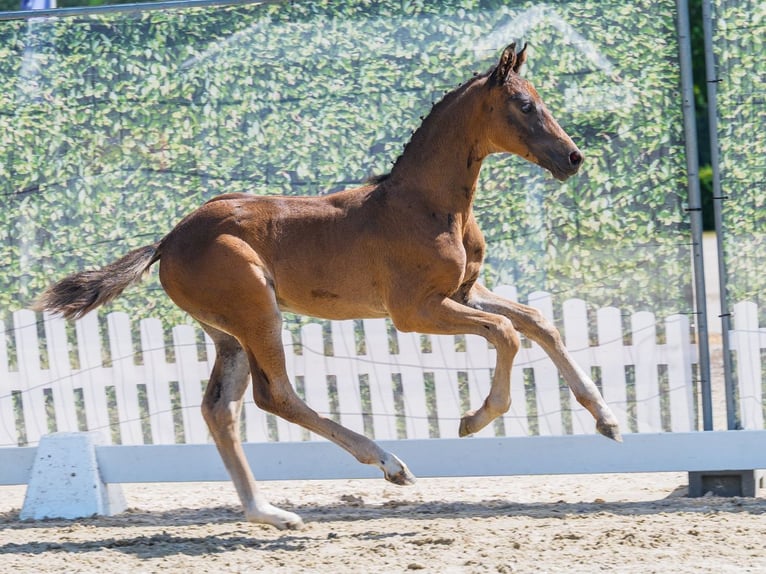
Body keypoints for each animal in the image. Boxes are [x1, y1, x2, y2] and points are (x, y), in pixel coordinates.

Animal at [34, 42, 621, 530]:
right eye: (524, 104)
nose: (573, 158)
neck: (428, 205)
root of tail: (170, 239)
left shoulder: (463, 292)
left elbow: (537, 323)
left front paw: (608, 421)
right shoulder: (415, 310)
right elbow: (506, 332)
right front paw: (474, 420)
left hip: (228, 333)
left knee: (220, 408)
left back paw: (269, 513)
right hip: (257, 310)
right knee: (274, 395)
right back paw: (388, 464)